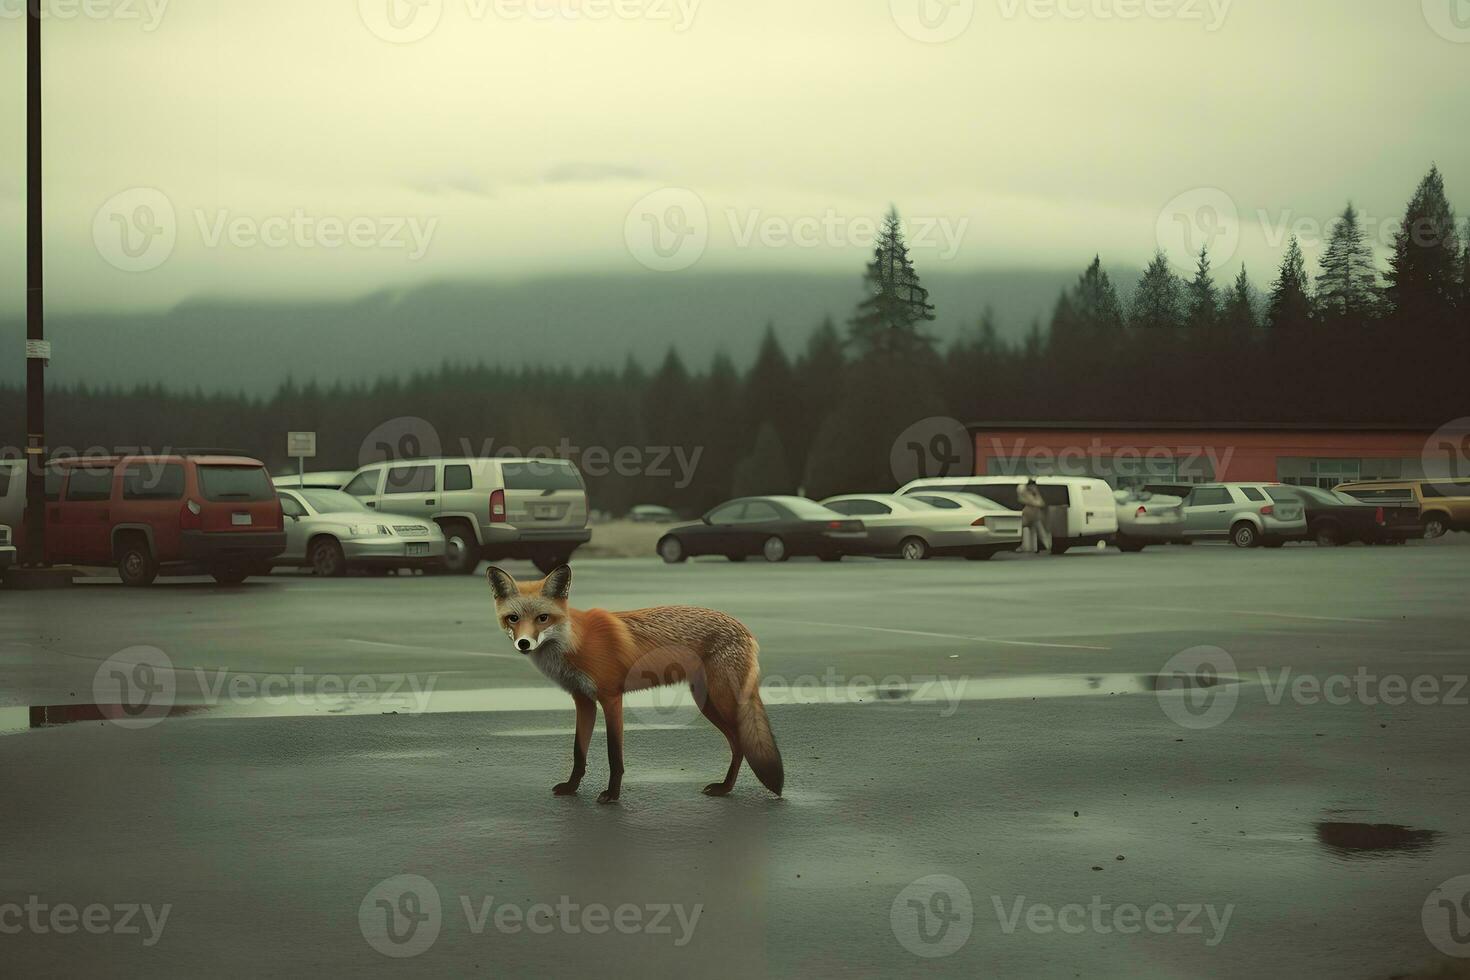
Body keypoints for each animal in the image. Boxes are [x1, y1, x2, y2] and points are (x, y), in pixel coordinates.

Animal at [488, 567, 787, 805]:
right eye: (513, 618)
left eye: (543, 618)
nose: (524, 643)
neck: (575, 643)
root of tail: (745, 628)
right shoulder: (583, 700)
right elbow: (578, 753)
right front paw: (572, 788)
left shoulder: (611, 698)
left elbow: (614, 756)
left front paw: (612, 795)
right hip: (707, 702)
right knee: (738, 744)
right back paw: (725, 788)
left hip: (722, 700)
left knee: (741, 743)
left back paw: (725, 787)